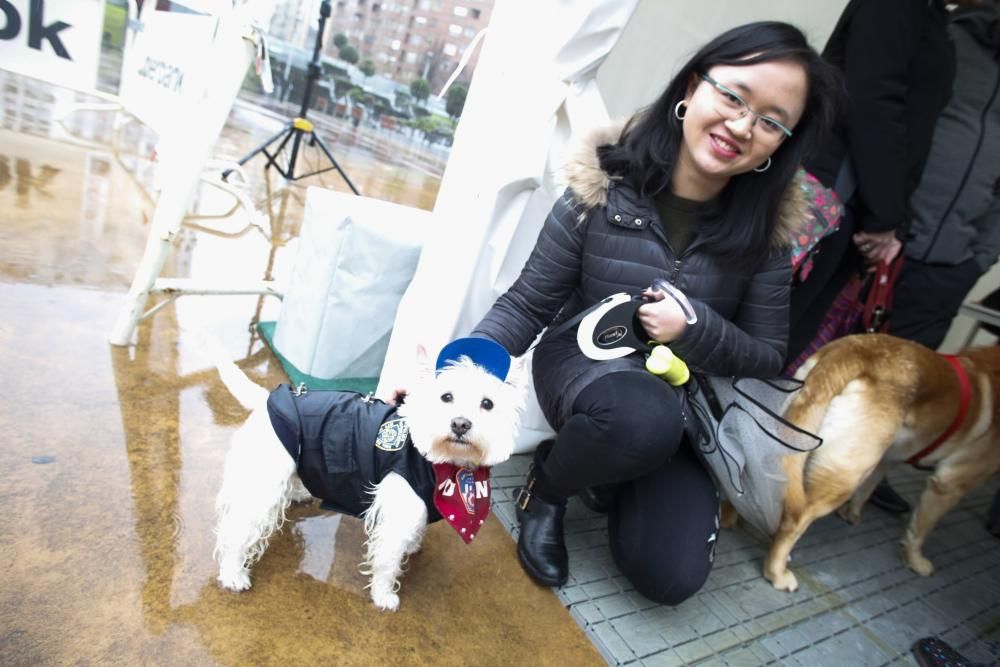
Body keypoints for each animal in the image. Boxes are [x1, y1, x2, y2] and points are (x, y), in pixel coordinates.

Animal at [211, 340, 524, 612]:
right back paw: (233, 574)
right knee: (236, 530)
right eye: (446, 397)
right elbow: (387, 560)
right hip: (261, 485)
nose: (460, 424)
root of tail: (268, 398)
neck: (444, 464)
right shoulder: (399, 514)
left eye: (488, 404)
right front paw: (384, 596)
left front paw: (413, 546)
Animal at [760, 336, 996, 592]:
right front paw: (915, 561)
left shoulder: (885, 460)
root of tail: (854, 352)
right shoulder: (949, 486)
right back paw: (777, 571)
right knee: (793, 521)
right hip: (844, 477)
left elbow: (867, 490)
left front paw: (851, 513)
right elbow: (920, 530)